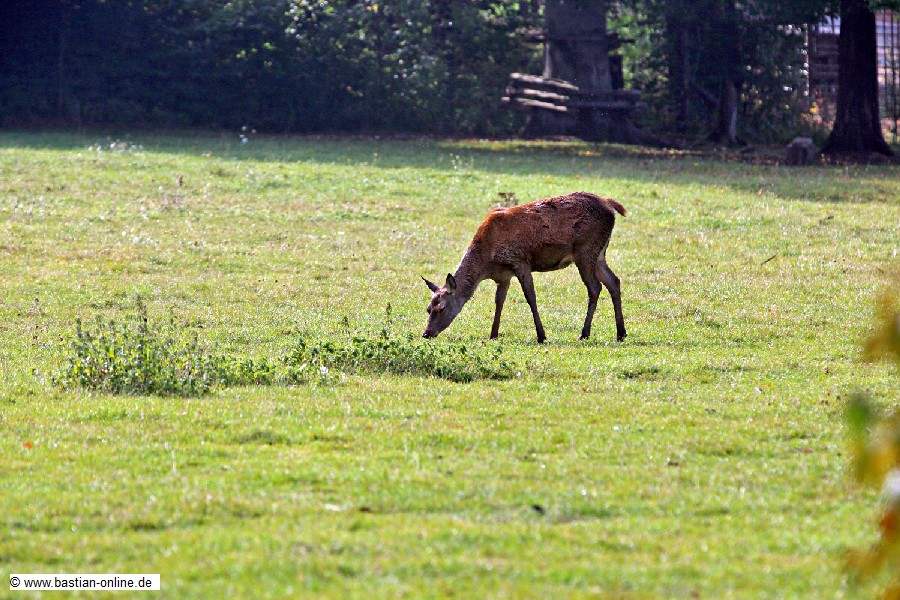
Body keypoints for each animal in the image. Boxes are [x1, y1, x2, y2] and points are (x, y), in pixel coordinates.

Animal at [422, 191, 627, 343]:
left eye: (441, 308)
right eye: (428, 308)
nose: (426, 333)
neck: (486, 262)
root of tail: (609, 205)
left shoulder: (520, 262)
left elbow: (530, 297)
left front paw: (541, 336)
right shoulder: (503, 275)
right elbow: (499, 301)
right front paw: (493, 335)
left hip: (585, 251)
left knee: (595, 287)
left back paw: (584, 333)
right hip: (599, 254)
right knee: (614, 281)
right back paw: (621, 333)